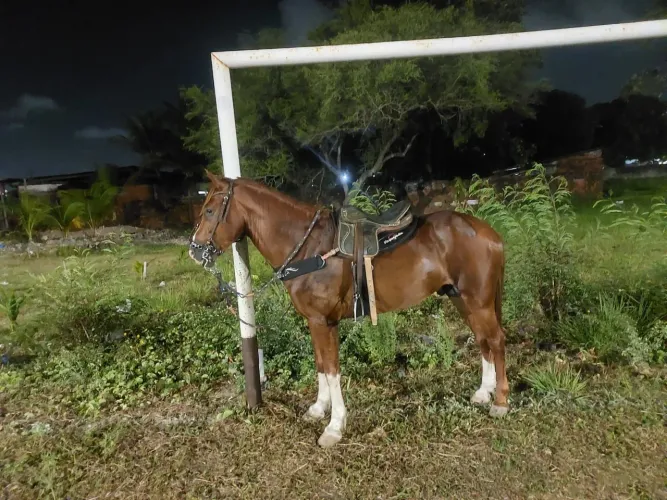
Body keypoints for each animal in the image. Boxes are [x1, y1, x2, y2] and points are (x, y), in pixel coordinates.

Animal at [189, 171, 509, 448]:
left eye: (209, 211)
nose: (194, 250)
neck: (309, 248)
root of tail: (490, 233)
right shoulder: (315, 321)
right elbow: (320, 363)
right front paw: (319, 408)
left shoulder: (323, 321)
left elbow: (332, 370)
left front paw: (334, 426)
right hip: (461, 299)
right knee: (482, 339)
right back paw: (484, 392)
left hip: (478, 301)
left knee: (496, 340)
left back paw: (501, 402)